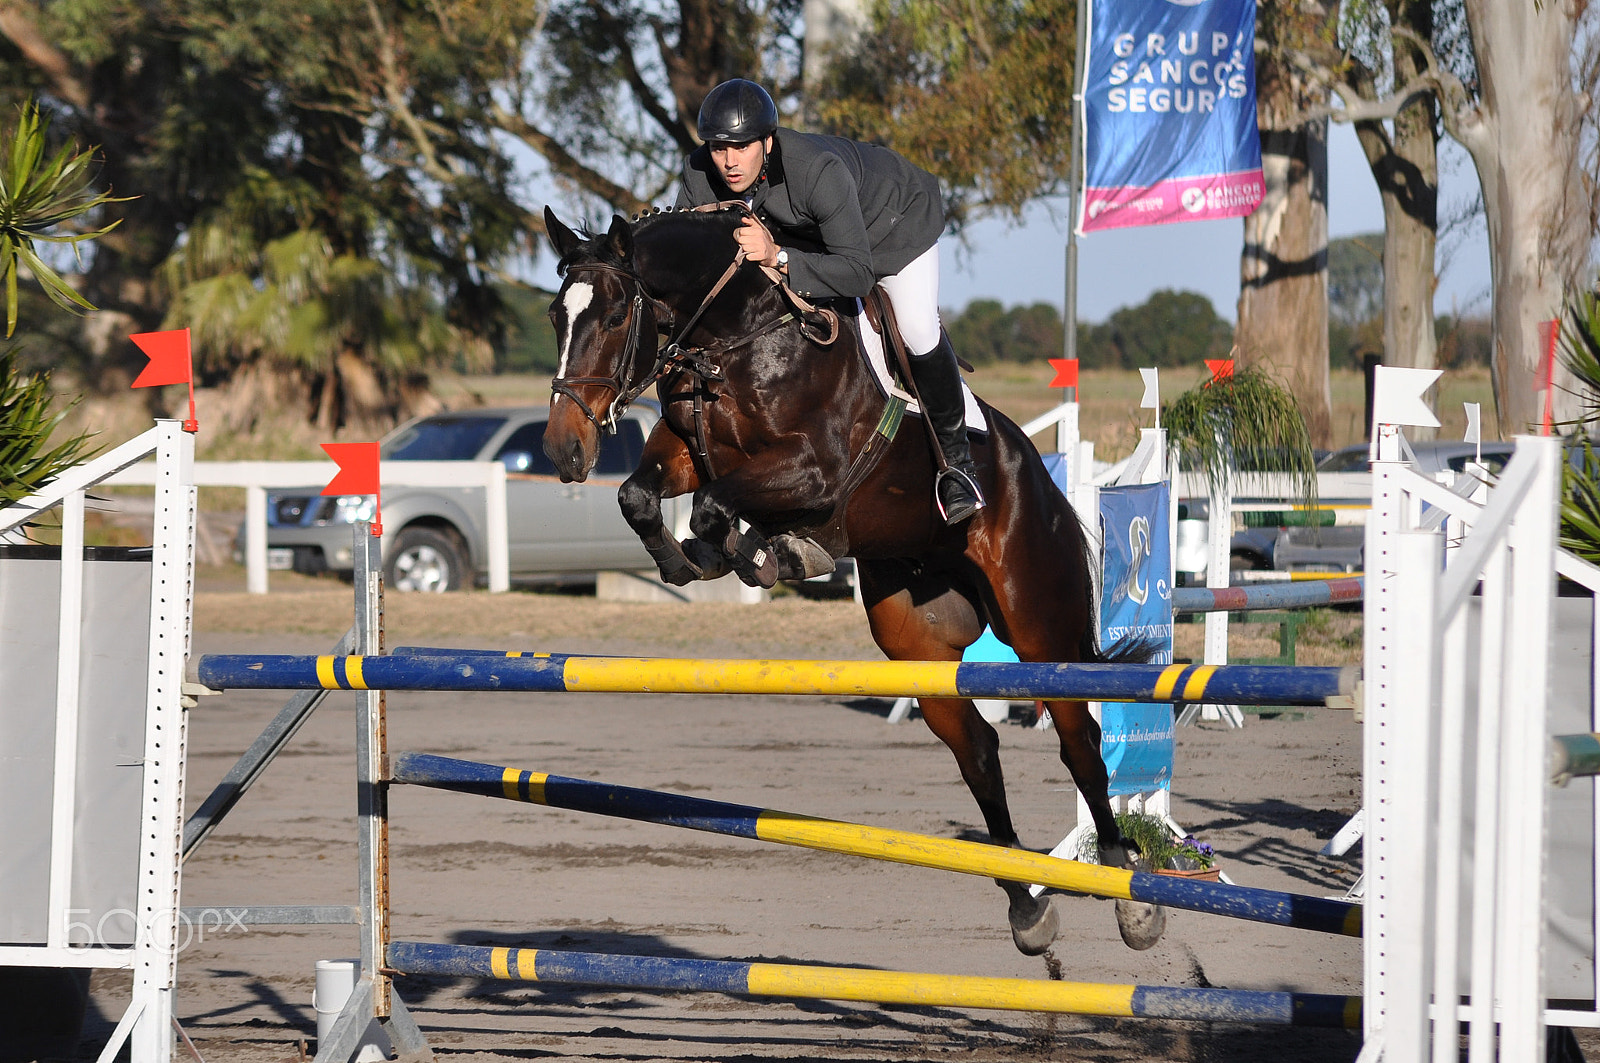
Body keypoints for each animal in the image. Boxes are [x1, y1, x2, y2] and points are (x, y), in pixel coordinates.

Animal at [537, 201, 1164, 954]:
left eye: (612, 314)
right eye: (554, 315)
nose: (564, 451)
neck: (736, 333)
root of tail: (1038, 475)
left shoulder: (812, 466)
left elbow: (718, 505)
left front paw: (756, 552)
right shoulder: (688, 449)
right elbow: (641, 495)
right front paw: (696, 558)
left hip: (1043, 626)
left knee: (1081, 746)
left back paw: (1130, 896)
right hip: (920, 647)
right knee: (979, 751)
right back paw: (1026, 907)